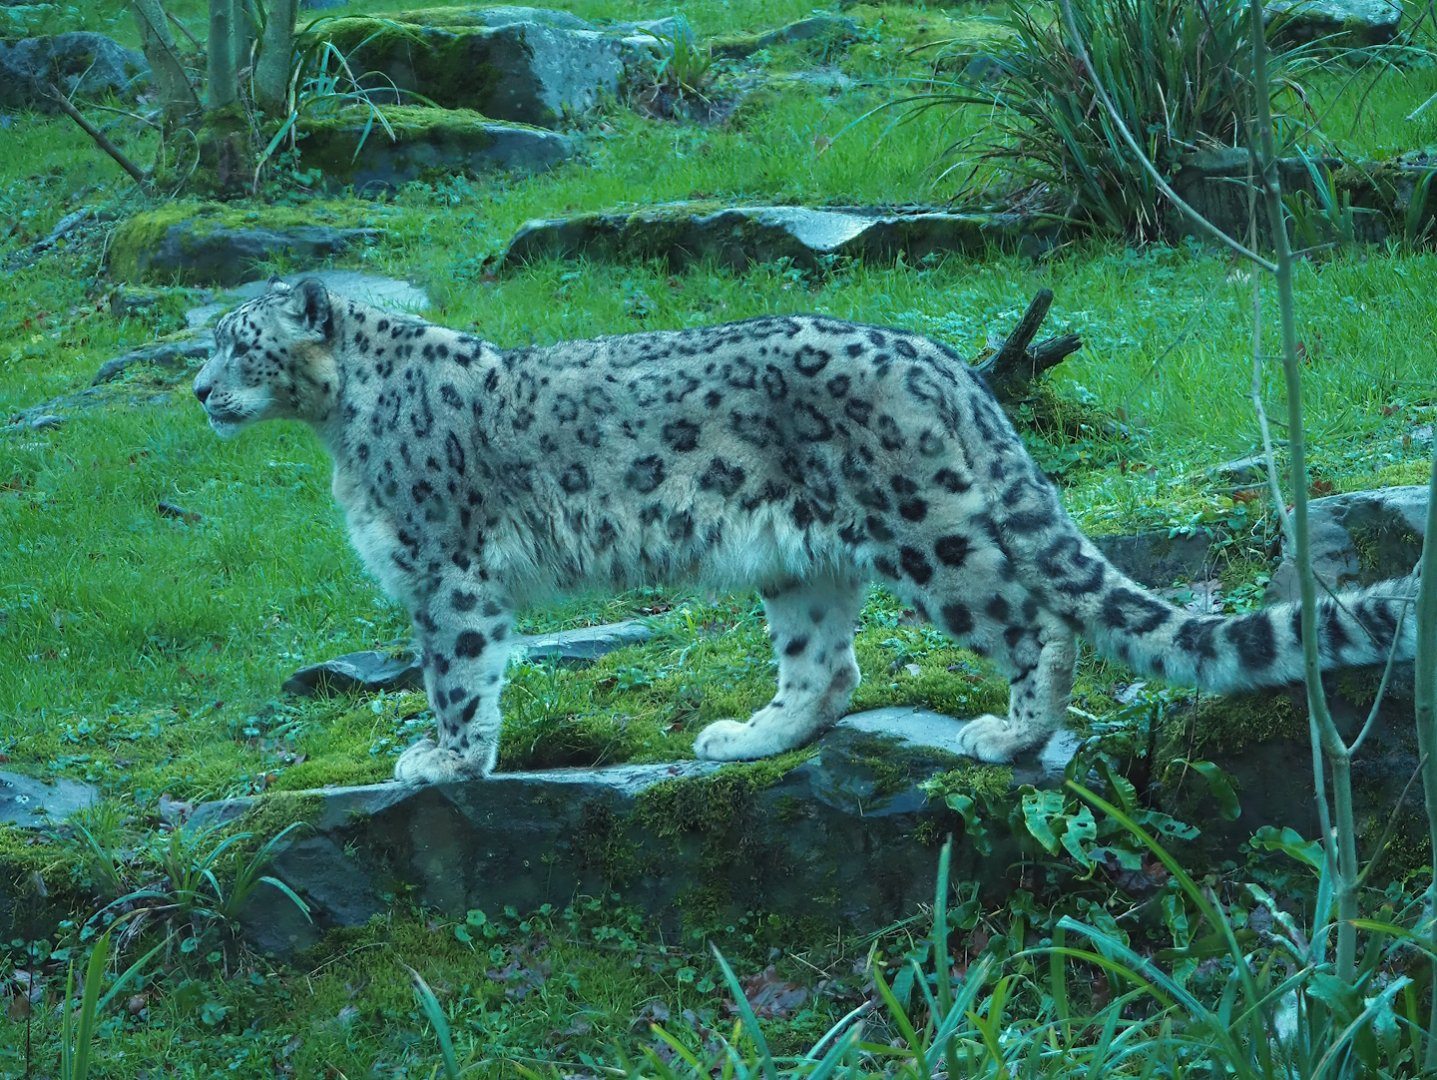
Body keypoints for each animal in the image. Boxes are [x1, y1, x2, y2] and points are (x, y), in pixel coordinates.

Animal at [193, 278, 1419, 785]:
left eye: (241, 342)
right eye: (210, 343)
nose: (199, 392)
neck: (336, 427)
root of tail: (940, 359)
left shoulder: (442, 572)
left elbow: (456, 672)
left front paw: (444, 757)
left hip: (928, 534)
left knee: (1032, 621)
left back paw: (1010, 735)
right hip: (797, 560)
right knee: (827, 667)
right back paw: (753, 736)